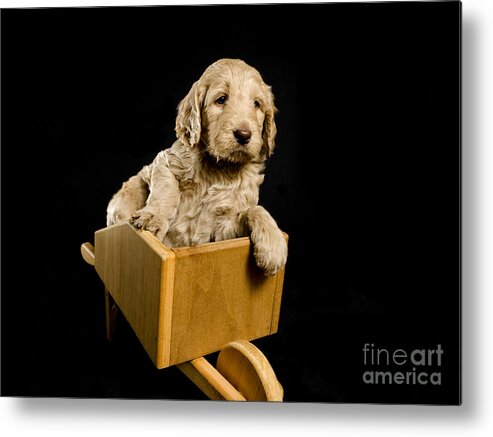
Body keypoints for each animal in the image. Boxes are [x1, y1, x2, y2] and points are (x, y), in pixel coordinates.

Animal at [105, 58, 286, 276]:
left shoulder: (224, 232)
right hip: (127, 194)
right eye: (221, 99)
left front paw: (274, 245)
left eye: (257, 104)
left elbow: (254, 210)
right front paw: (153, 217)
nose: (244, 135)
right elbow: (166, 190)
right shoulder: (165, 162)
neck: (219, 168)